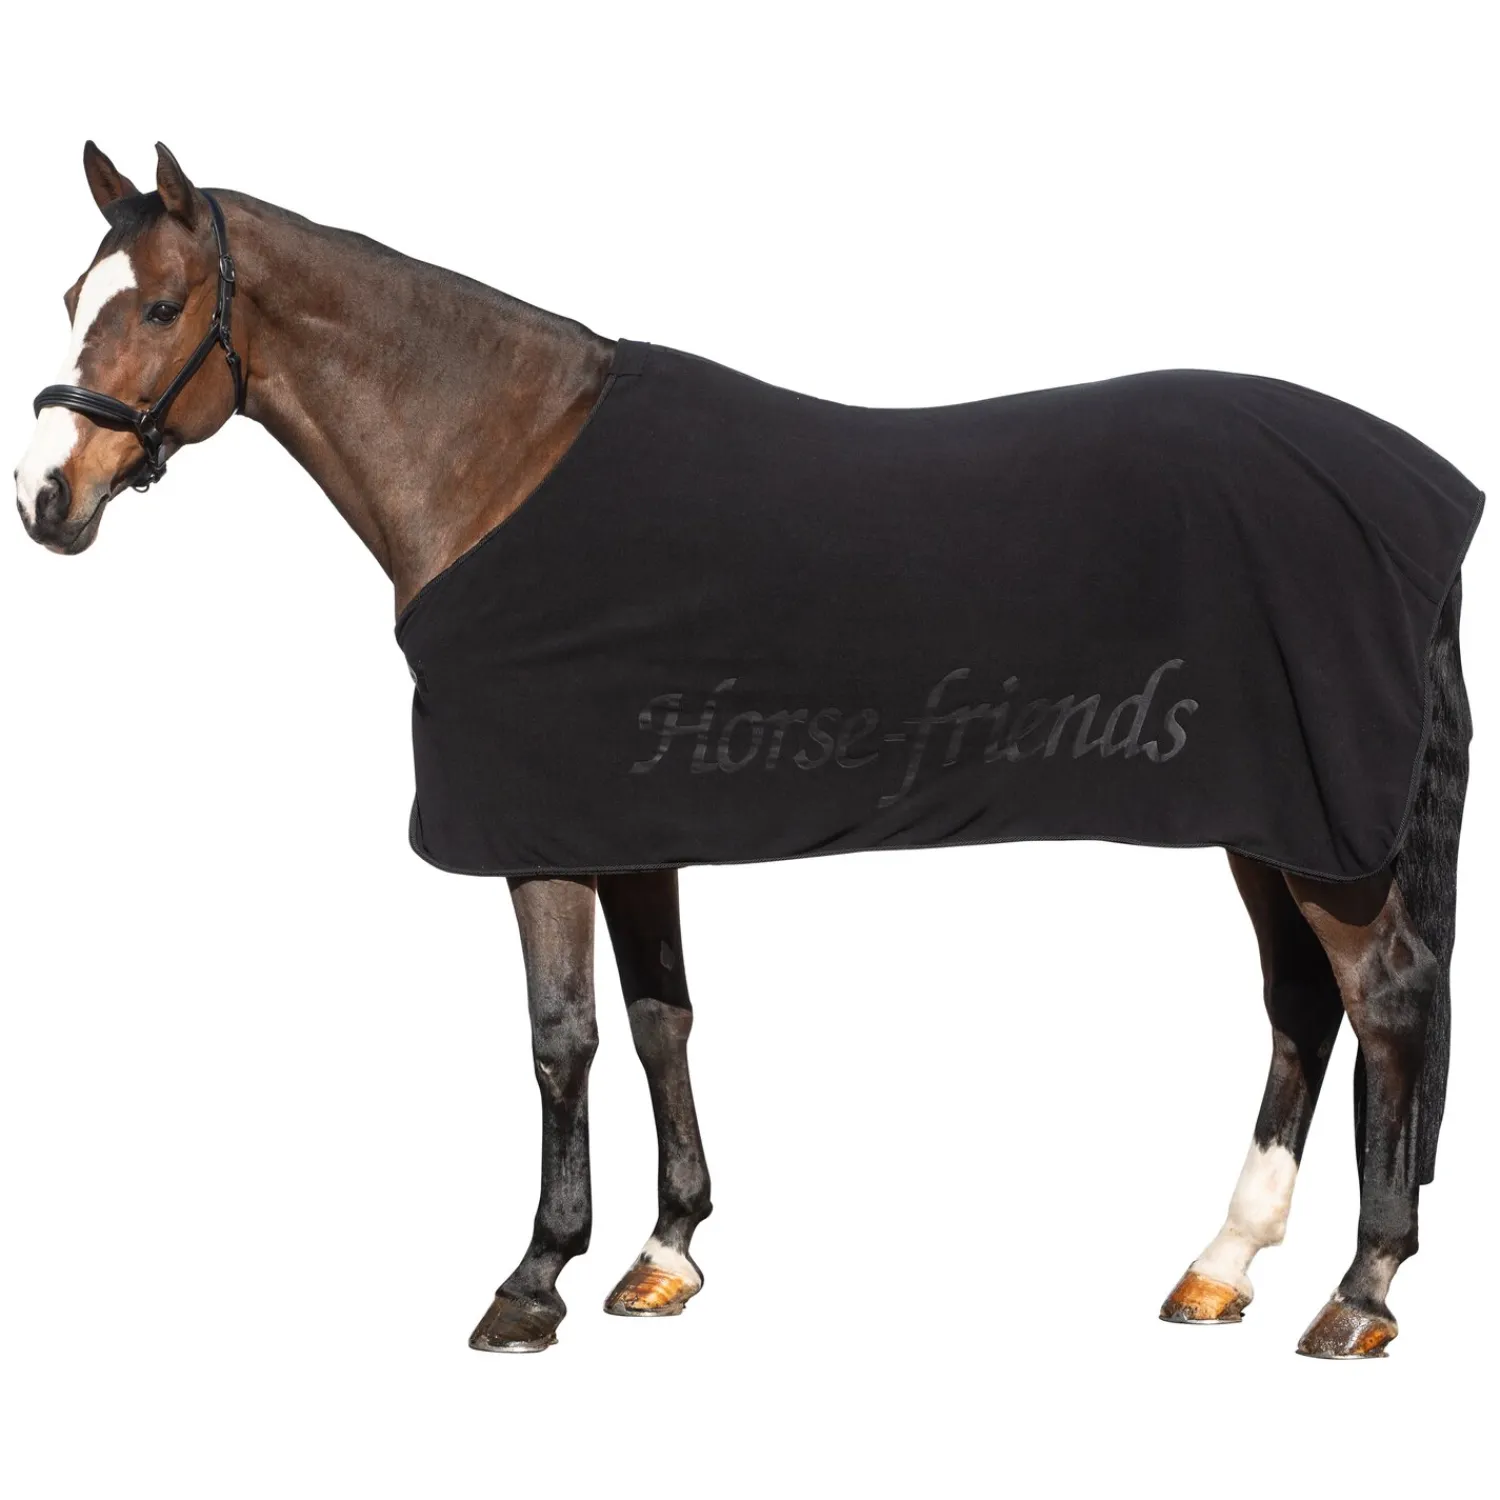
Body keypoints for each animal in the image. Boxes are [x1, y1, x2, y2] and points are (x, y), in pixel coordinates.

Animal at [15, 142, 1479, 1360]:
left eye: (159, 308)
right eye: (72, 295)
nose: (44, 498)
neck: (501, 461)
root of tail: (1418, 489)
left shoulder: (538, 833)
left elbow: (562, 1038)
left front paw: (534, 1280)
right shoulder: (625, 827)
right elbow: (660, 1016)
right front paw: (664, 1253)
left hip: (1322, 836)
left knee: (1386, 999)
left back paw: (1360, 1293)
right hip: (1266, 817)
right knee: (1302, 1010)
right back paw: (1224, 1265)